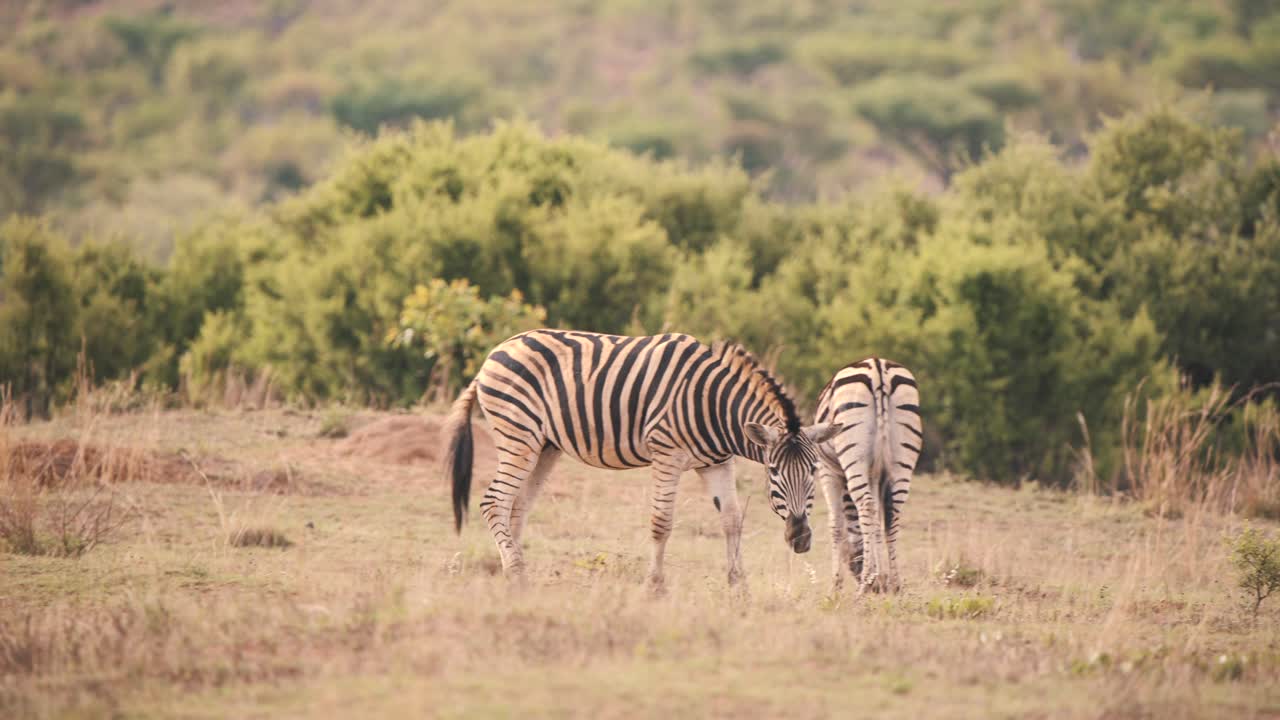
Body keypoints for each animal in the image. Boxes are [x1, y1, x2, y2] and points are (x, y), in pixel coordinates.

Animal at [442, 330, 842, 588]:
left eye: (813, 472)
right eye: (773, 472)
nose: (800, 539)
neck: (713, 404)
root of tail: (493, 354)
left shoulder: (716, 461)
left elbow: (732, 520)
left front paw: (737, 584)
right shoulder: (667, 453)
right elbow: (661, 522)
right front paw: (654, 583)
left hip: (544, 446)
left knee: (517, 505)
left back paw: (514, 567)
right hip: (519, 435)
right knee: (495, 501)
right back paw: (515, 570)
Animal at [814, 358, 922, 593]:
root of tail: (878, 366)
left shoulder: (828, 471)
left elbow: (836, 525)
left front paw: (835, 587)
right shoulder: (875, 475)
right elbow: (875, 526)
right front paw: (879, 577)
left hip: (853, 453)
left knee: (866, 505)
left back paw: (862, 587)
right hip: (902, 457)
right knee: (892, 512)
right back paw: (895, 584)